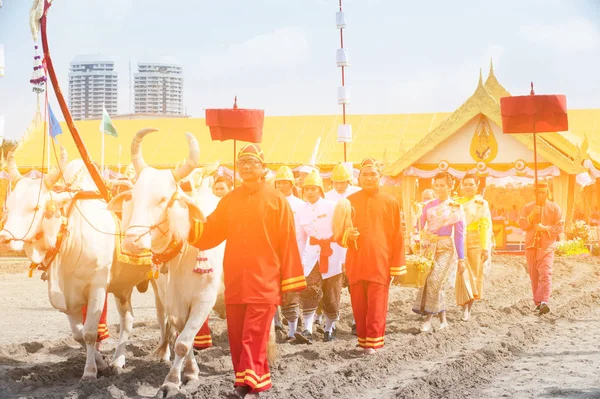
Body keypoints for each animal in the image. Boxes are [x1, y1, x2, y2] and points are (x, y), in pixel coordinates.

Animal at [0, 147, 171, 382]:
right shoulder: (67, 297)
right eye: (8, 206)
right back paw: (118, 362)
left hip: (163, 280)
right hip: (123, 287)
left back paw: (165, 356)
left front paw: (89, 372)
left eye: (35, 207)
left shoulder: (97, 288)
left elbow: (90, 332)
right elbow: (78, 335)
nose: (4, 238)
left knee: (166, 317)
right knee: (129, 321)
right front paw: (102, 363)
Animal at [106, 130, 224, 398]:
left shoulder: (204, 299)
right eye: (133, 197)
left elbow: (182, 342)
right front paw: (190, 373)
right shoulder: (173, 301)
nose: (132, 242)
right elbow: (182, 337)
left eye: (162, 199)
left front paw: (170, 382)